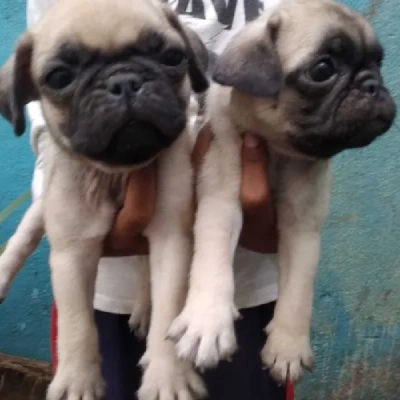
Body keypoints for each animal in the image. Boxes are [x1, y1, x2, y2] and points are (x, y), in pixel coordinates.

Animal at [0, 0, 208, 400]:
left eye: (173, 57)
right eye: (59, 77)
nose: (123, 81)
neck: (119, 173)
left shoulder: (171, 238)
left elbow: (169, 307)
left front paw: (167, 376)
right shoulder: (73, 250)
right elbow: (77, 323)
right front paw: (77, 381)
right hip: (42, 210)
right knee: (22, 239)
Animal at [166, 0, 396, 384]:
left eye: (378, 63)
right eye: (323, 69)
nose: (373, 85)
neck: (276, 152)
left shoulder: (302, 227)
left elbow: (299, 289)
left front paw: (288, 346)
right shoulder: (221, 204)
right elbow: (212, 264)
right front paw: (207, 322)